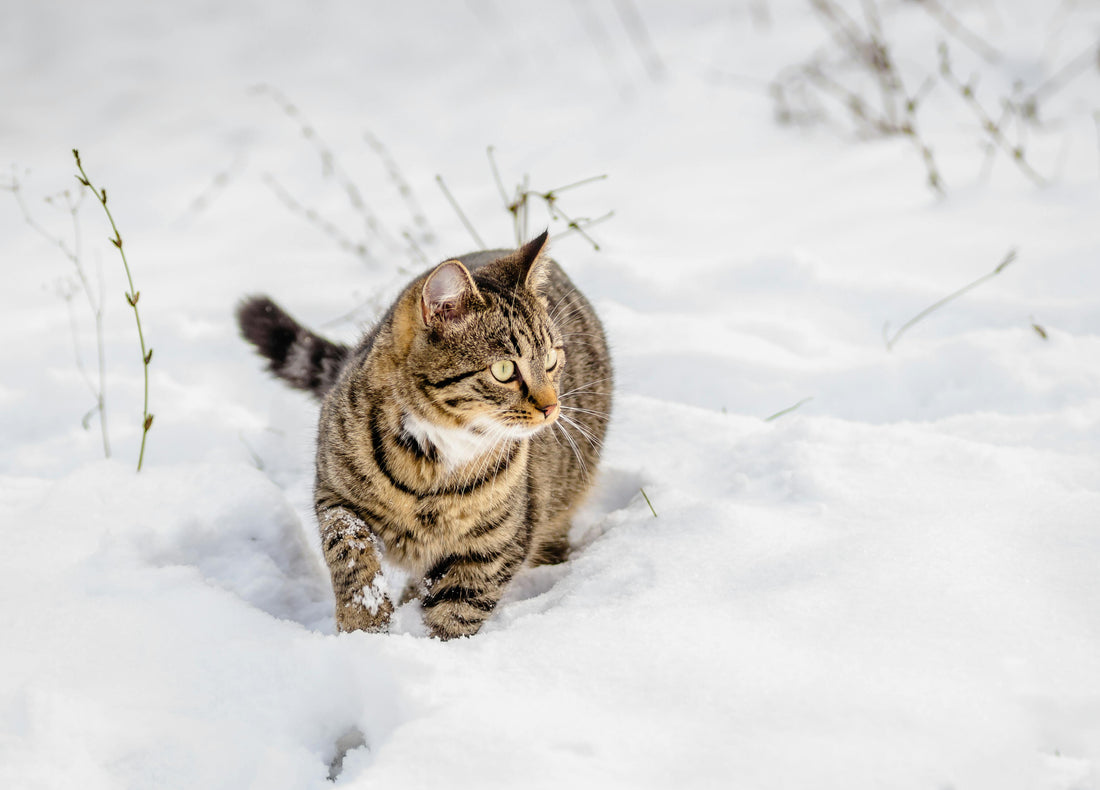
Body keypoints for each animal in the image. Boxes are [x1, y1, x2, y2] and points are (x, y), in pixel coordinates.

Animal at [236, 232, 611, 642]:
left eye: (552, 360)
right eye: (503, 369)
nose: (552, 407)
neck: (431, 459)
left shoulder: (495, 545)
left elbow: (458, 609)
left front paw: (435, 648)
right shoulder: (333, 491)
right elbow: (348, 547)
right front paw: (363, 625)